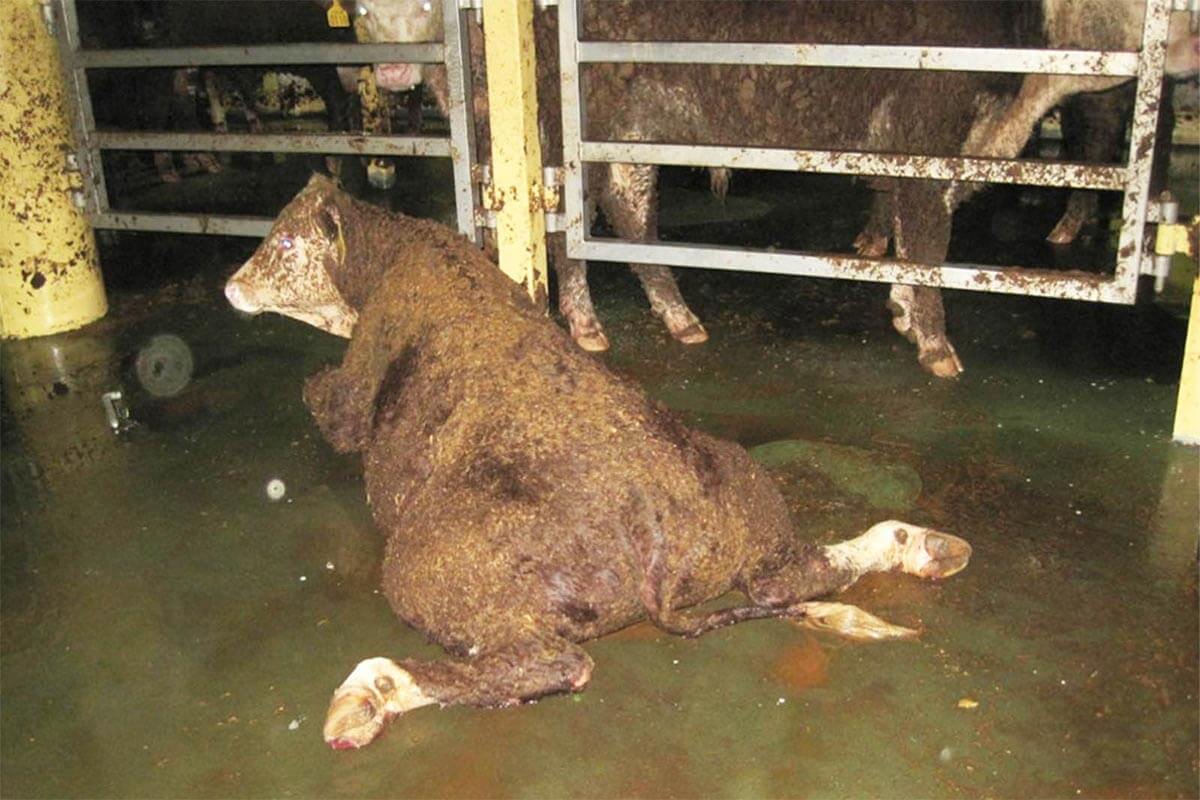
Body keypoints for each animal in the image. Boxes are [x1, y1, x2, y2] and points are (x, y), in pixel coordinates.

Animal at [224, 174, 973, 750]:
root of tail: (648, 516)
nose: (231, 285)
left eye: (283, 241)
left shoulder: (356, 388)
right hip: (749, 508)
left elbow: (328, 401)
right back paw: (923, 546)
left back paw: (372, 691)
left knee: (550, 665)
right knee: (794, 578)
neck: (397, 253)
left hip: (428, 569)